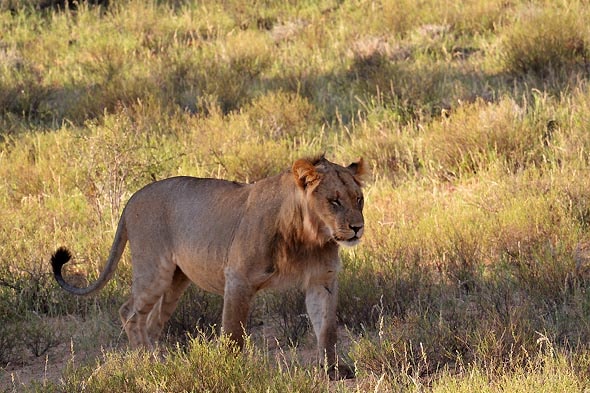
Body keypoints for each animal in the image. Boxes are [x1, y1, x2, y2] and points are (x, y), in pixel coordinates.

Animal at [52, 155, 366, 378]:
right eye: (334, 201)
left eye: (358, 199)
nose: (357, 228)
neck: (308, 236)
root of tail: (132, 199)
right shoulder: (239, 278)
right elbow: (233, 333)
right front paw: (230, 371)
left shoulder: (322, 281)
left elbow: (327, 329)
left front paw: (334, 370)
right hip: (154, 270)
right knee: (129, 313)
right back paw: (146, 363)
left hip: (176, 281)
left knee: (151, 322)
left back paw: (159, 361)